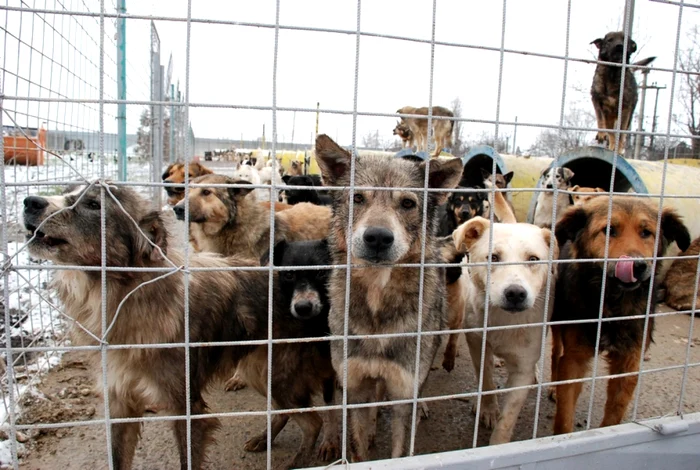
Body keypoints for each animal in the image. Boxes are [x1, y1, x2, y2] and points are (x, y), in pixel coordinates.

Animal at [21, 184, 274, 470]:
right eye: (67, 191)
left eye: (94, 204)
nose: (30, 201)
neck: (120, 296)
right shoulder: (119, 403)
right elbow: (117, 458)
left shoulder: (187, 409)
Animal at [239, 241, 340, 468]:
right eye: (289, 275)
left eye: (320, 272)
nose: (303, 307)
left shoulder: (331, 371)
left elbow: (331, 408)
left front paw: (330, 440)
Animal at [314, 132, 462, 458]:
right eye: (357, 198)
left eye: (407, 203)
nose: (378, 237)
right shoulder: (355, 389)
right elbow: (359, 447)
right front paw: (366, 437)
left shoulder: (403, 396)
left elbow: (400, 450)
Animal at [452, 217, 560, 444]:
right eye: (493, 257)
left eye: (533, 259)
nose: (516, 293)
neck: (502, 320)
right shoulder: (477, 344)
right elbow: (486, 380)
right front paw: (488, 409)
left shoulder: (521, 371)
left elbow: (508, 418)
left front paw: (497, 444)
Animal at [552, 195, 688, 434]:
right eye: (609, 230)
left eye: (646, 232)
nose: (637, 266)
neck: (612, 305)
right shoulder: (574, 357)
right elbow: (564, 415)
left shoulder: (629, 361)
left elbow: (615, 411)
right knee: (554, 353)